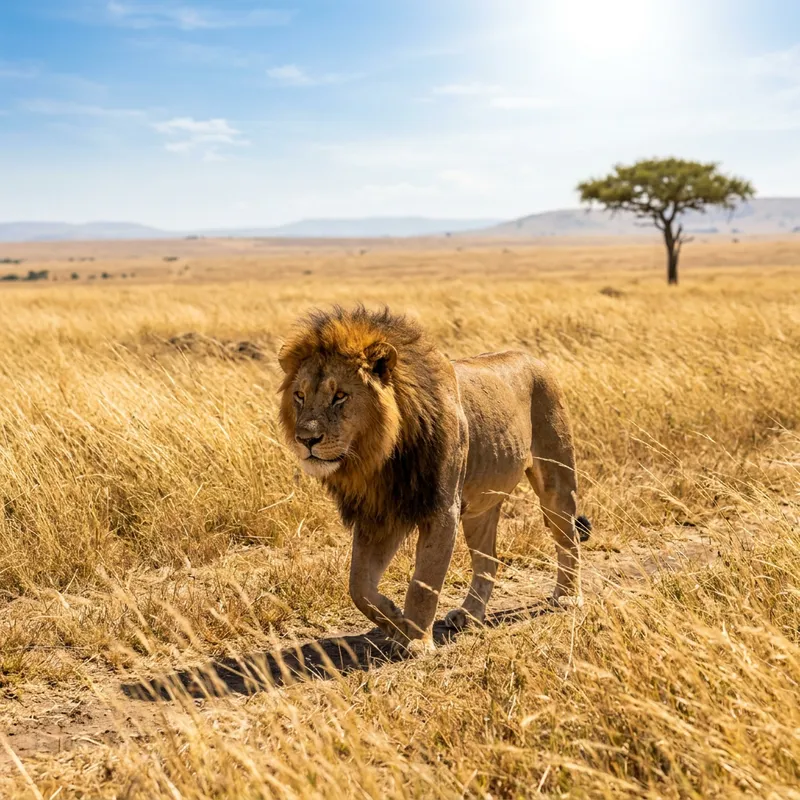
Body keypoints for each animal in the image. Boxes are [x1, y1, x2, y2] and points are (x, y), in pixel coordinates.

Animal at [278, 306, 590, 654]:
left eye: (340, 396)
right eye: (299, 396)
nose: (305, 439)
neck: (382, 457)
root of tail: (532, 357)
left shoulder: (441, 510)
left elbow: (423, 582)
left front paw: (416, 642)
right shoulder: (379, 514)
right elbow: (359, 587)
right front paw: (396, 623)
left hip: (556, 481)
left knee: (568, 538)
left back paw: (567, 596)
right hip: (481, 508)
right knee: (488, 562)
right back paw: (470, 614)